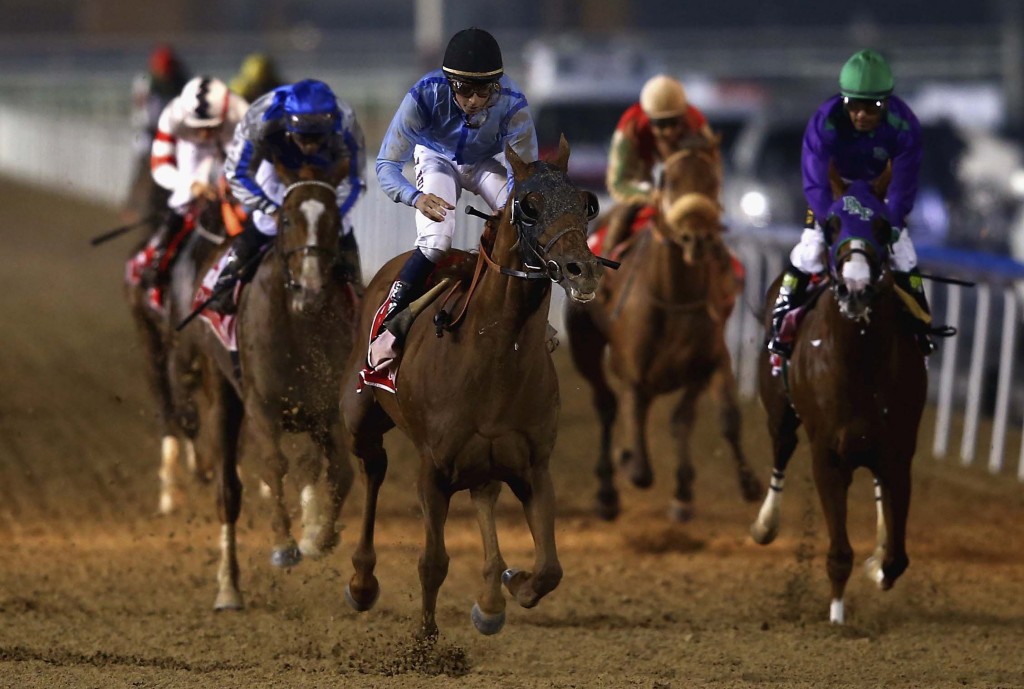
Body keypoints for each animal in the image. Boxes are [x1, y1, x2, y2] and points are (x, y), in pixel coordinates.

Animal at [195, 159, 360, 606]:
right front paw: (285, 546)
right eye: (286, 219)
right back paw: (228, 588)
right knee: (228, 493)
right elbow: (274, 465)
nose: (311, 289)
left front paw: (317, 539)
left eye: (334, 219)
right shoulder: (262, 408)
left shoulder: (325, 410)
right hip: (222, 396)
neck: (301, 328)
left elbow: (341, 472)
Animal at [339, 137, 602, 638]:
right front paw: (426, 639)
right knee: (374, 470)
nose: (583, 269)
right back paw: (361, 581)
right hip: (360, 417)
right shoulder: (432, 468)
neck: (494, 357)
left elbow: (550, 568)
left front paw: (511, 584)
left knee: (483, 494)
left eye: (587, 204)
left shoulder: (534, 467)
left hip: (484, 463)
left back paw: (492, 596)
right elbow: (433, 562)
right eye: (529, 207)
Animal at [569, 138, 761, 522]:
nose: (697, 237)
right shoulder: (634, 377)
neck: (674, 297)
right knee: (605, 404)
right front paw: (627, 459)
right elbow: (641, 468)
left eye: (713, 181)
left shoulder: (711, 360)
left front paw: (742, 484)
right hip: (584, 345)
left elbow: (716, 418)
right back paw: (607, 492)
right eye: (668, 180)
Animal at [745, 177, 929, 622]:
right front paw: (837, 616)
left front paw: (878, 563)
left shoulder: (898, 453)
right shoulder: (828, 455)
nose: (857, 287)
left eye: (882, 226)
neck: (860, 362)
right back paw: (764, 526)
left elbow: (897, 557)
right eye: (831, 225)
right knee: (780, 453)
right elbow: (840, 553)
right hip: (780, 414)